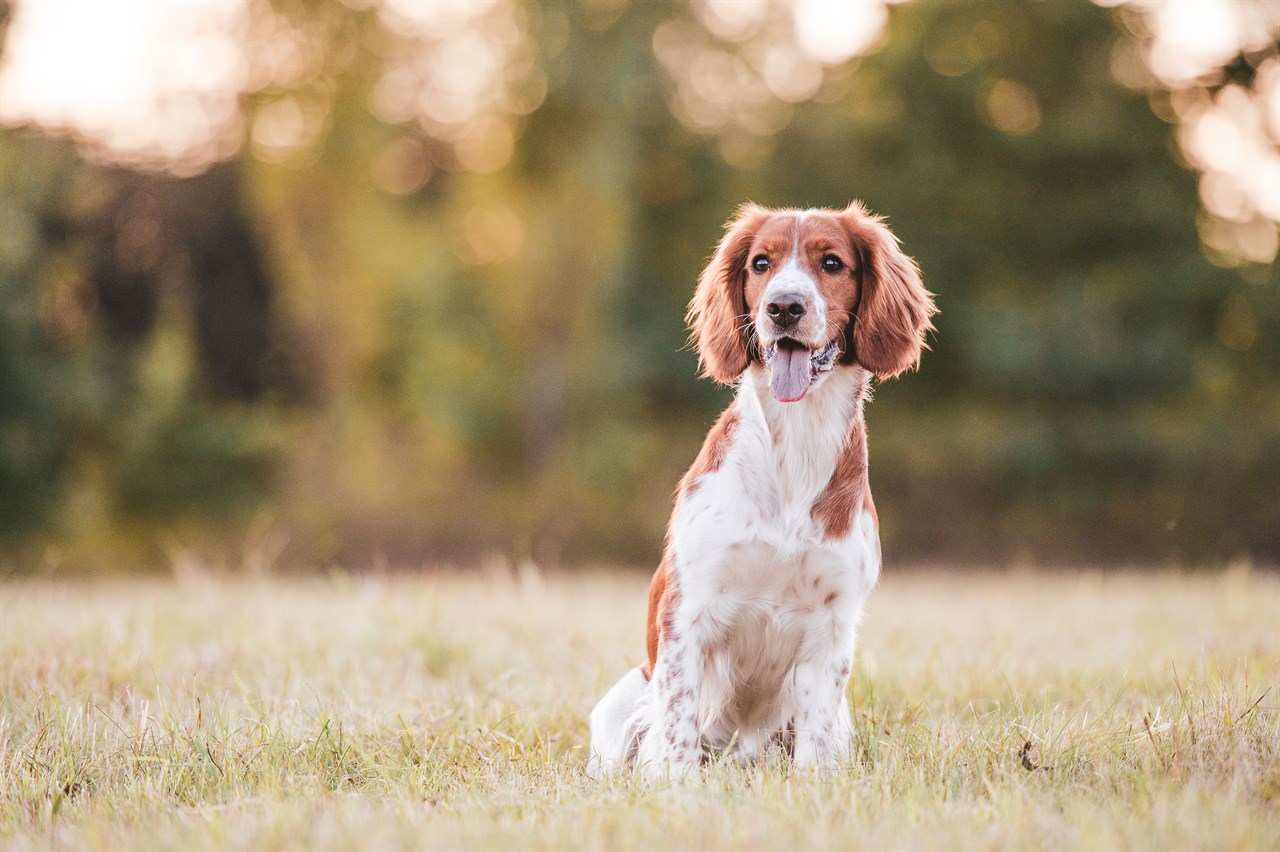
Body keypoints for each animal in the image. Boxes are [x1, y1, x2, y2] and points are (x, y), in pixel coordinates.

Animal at [586, 200, 936, 777]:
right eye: (761, 263)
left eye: (832, 262)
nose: (784, 307)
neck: (794, 446)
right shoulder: (689, 610)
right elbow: (677, 727)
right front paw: (675, 785)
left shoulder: (832, 623)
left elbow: (815, 740)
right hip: (622, 703)